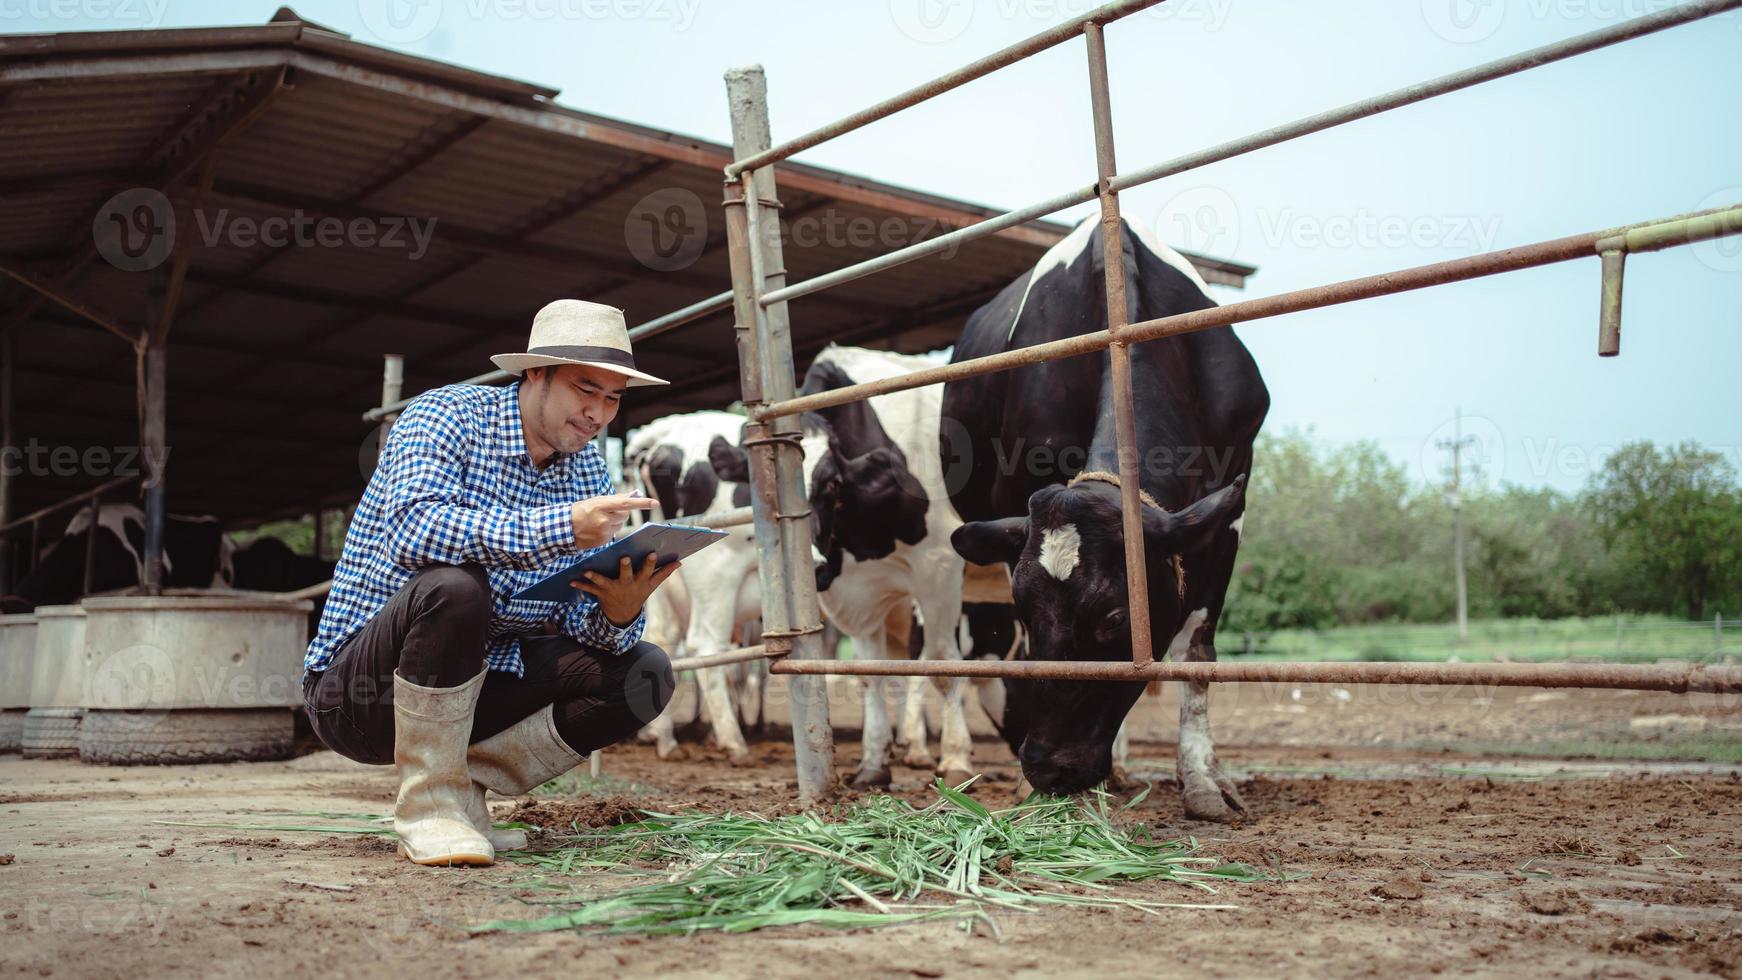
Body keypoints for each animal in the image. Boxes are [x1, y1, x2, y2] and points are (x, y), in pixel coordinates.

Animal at [940, 218, 1268, 825]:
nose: (1044, 767)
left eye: (1115, 617)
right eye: (1026, 609)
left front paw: (1202, 779)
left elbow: (1196, 652)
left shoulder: (1228, 512)